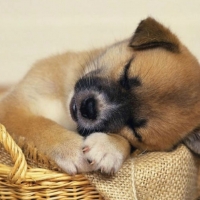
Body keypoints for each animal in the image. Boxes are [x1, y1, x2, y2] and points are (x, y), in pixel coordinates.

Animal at [0, 17, 200, 175]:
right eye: (126, 74)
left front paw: (110, 147)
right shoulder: (12, 105)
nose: (88, 108)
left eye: (134, 129)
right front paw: (70, 149)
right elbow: (39, 125)